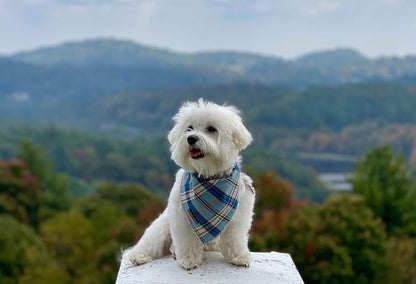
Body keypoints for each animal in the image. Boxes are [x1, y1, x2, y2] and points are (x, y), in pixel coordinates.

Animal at [127, 98, 255, 270]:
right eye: (189, 128)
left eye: (211, 129)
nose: (191, 138)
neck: (209, 177)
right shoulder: (183, 218)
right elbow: (188, 241)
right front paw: (188, 260)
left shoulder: (238, 218)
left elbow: (235, 239)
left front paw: (239, 257)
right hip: (161, 229)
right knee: (149, 245)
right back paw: (139, 255)